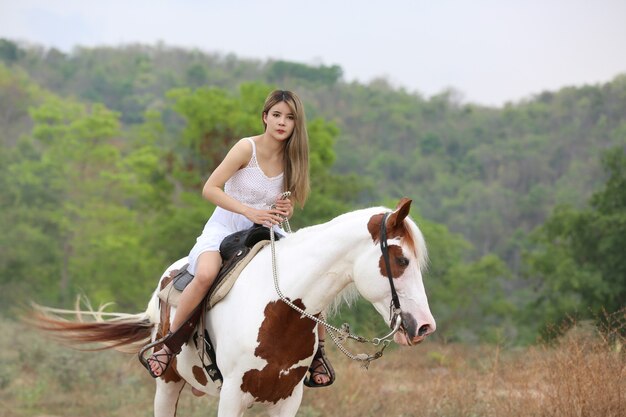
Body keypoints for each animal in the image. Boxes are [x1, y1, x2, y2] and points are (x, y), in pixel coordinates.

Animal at [34, 198, 434, 416]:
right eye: (400, 259)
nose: (424, 326)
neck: (279, 314)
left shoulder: (287, 400)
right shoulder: (231, 397)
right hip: (167, 383)